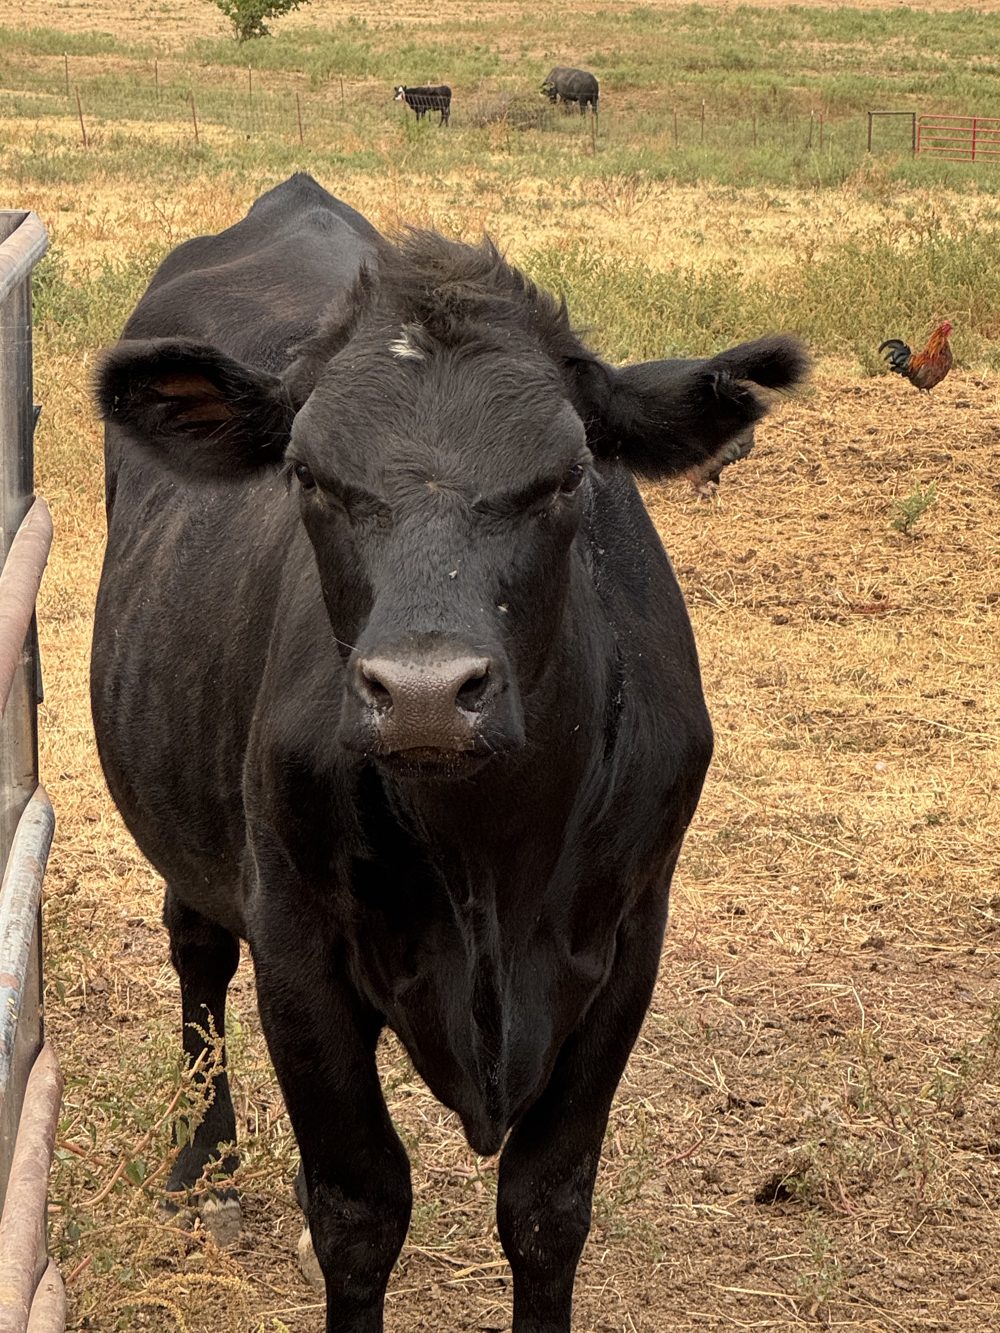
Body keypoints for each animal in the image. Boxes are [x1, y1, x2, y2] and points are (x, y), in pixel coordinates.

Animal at [91, 172, 806, 1332]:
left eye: (569, 475)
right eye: (306, 475)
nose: (425, 694)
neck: (488, 863)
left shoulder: (628, 942)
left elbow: (547, 1205)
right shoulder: (297, 943)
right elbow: (360, 1207)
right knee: (196, 951)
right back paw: (206, 1170)